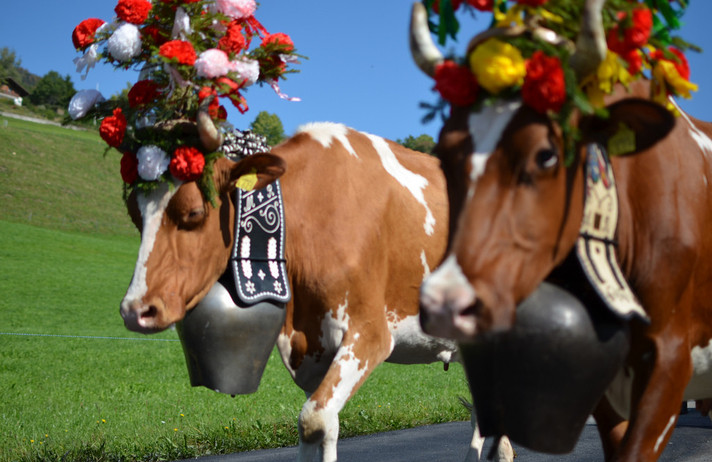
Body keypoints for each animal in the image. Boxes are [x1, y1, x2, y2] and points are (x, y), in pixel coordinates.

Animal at [118, 118, 514, 462]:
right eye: (134, 214)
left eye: (195, 213)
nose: (136, 310)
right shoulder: (309, 350)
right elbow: (321, 427)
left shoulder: (369, 333)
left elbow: (314, 418)